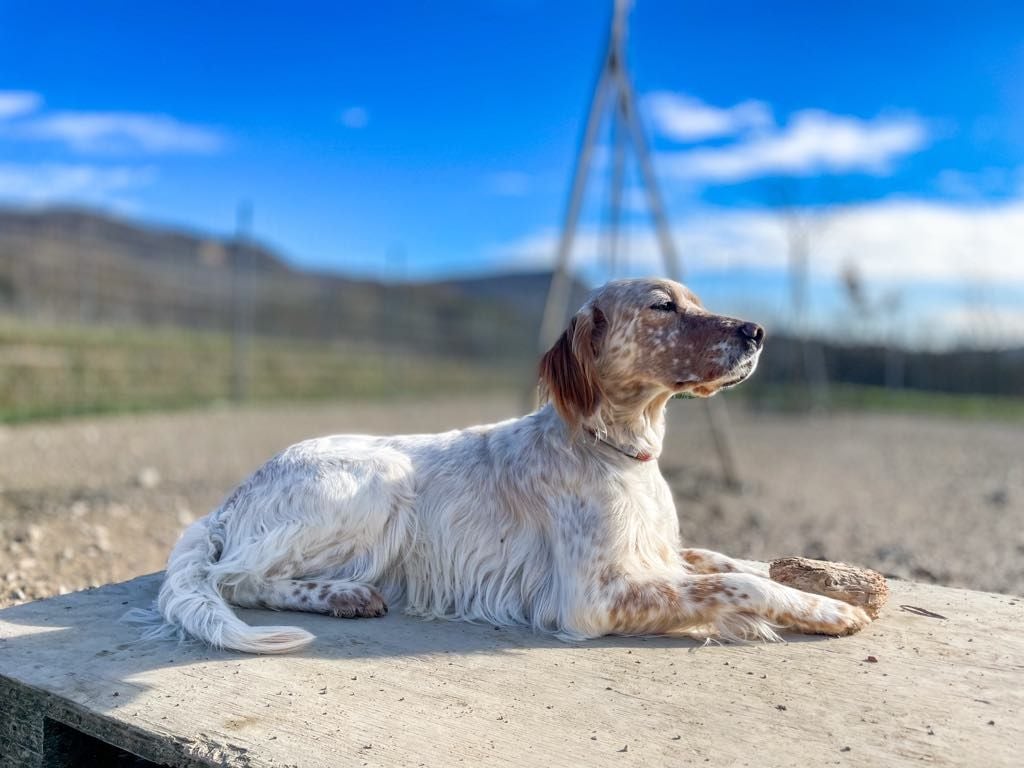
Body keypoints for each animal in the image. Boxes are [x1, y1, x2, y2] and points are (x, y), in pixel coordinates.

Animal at [149, 280, 872, 651]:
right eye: (663, 306)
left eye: (694, 298)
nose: (756, 332)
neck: (617, 453)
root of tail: (231, 499)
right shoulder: (590, 598)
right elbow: (738, 586)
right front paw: (827, 611)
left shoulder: (659, 553)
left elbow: (729, 561)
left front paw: (828, 584)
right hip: (378, 481)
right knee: (235, 578)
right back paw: (341, 594)